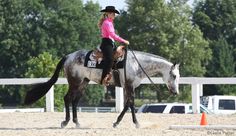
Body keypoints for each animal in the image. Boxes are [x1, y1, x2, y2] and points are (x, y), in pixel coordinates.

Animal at [24, 49, 180, 129]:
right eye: (173, 75)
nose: (175, 92)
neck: (136, 64)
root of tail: (68, 56)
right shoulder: (129, 86)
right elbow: (131, 104)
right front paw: (135, 123)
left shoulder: (128, 87)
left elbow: (127, 105)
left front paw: (117, 122)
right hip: (75, 82)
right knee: (67, 99)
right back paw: (65, 122)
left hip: (84, 83)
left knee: (74, 101)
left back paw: (77, 123)